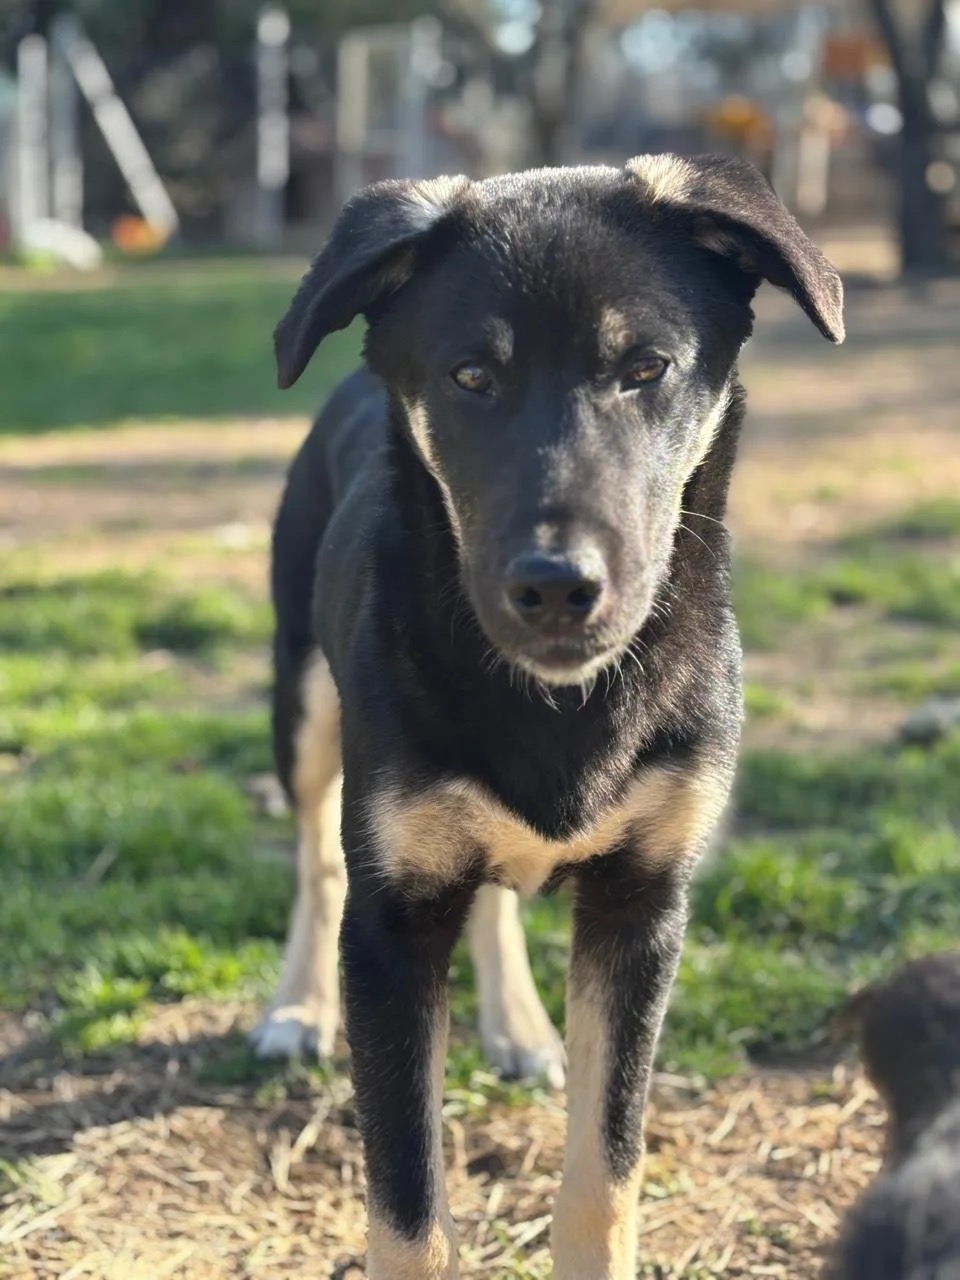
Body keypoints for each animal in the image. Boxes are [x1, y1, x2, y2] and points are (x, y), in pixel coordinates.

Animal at [251, 154, 844, 1279]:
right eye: (470, 377)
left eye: (646, 368)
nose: (557, 587)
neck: (560, 698)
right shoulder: (389, 931)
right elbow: (406, 1209)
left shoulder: (643, 907)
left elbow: (603, 1175)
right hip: (300, 696)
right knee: (310, 854)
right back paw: (294, 1007)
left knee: (488, 895)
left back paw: (518, 1027)